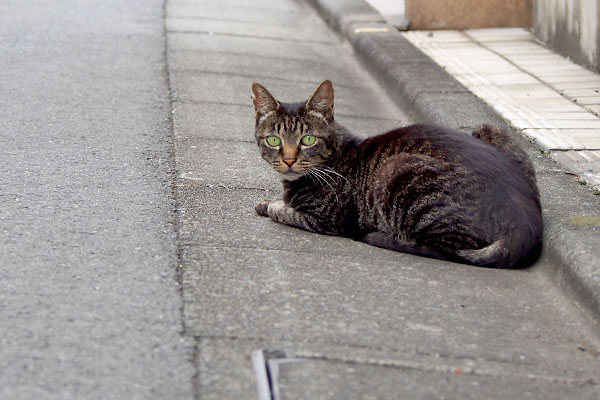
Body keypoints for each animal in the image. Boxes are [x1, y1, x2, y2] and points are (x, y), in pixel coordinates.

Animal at [251, 80, 540, 268]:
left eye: (308, 139)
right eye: (274, 140)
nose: (289, 160)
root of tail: (527, 220)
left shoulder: (327, 220)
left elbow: (284, 211)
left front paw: (273, 205)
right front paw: (269, 201)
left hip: (396, 171)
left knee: (447, 249)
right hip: (490, 128)